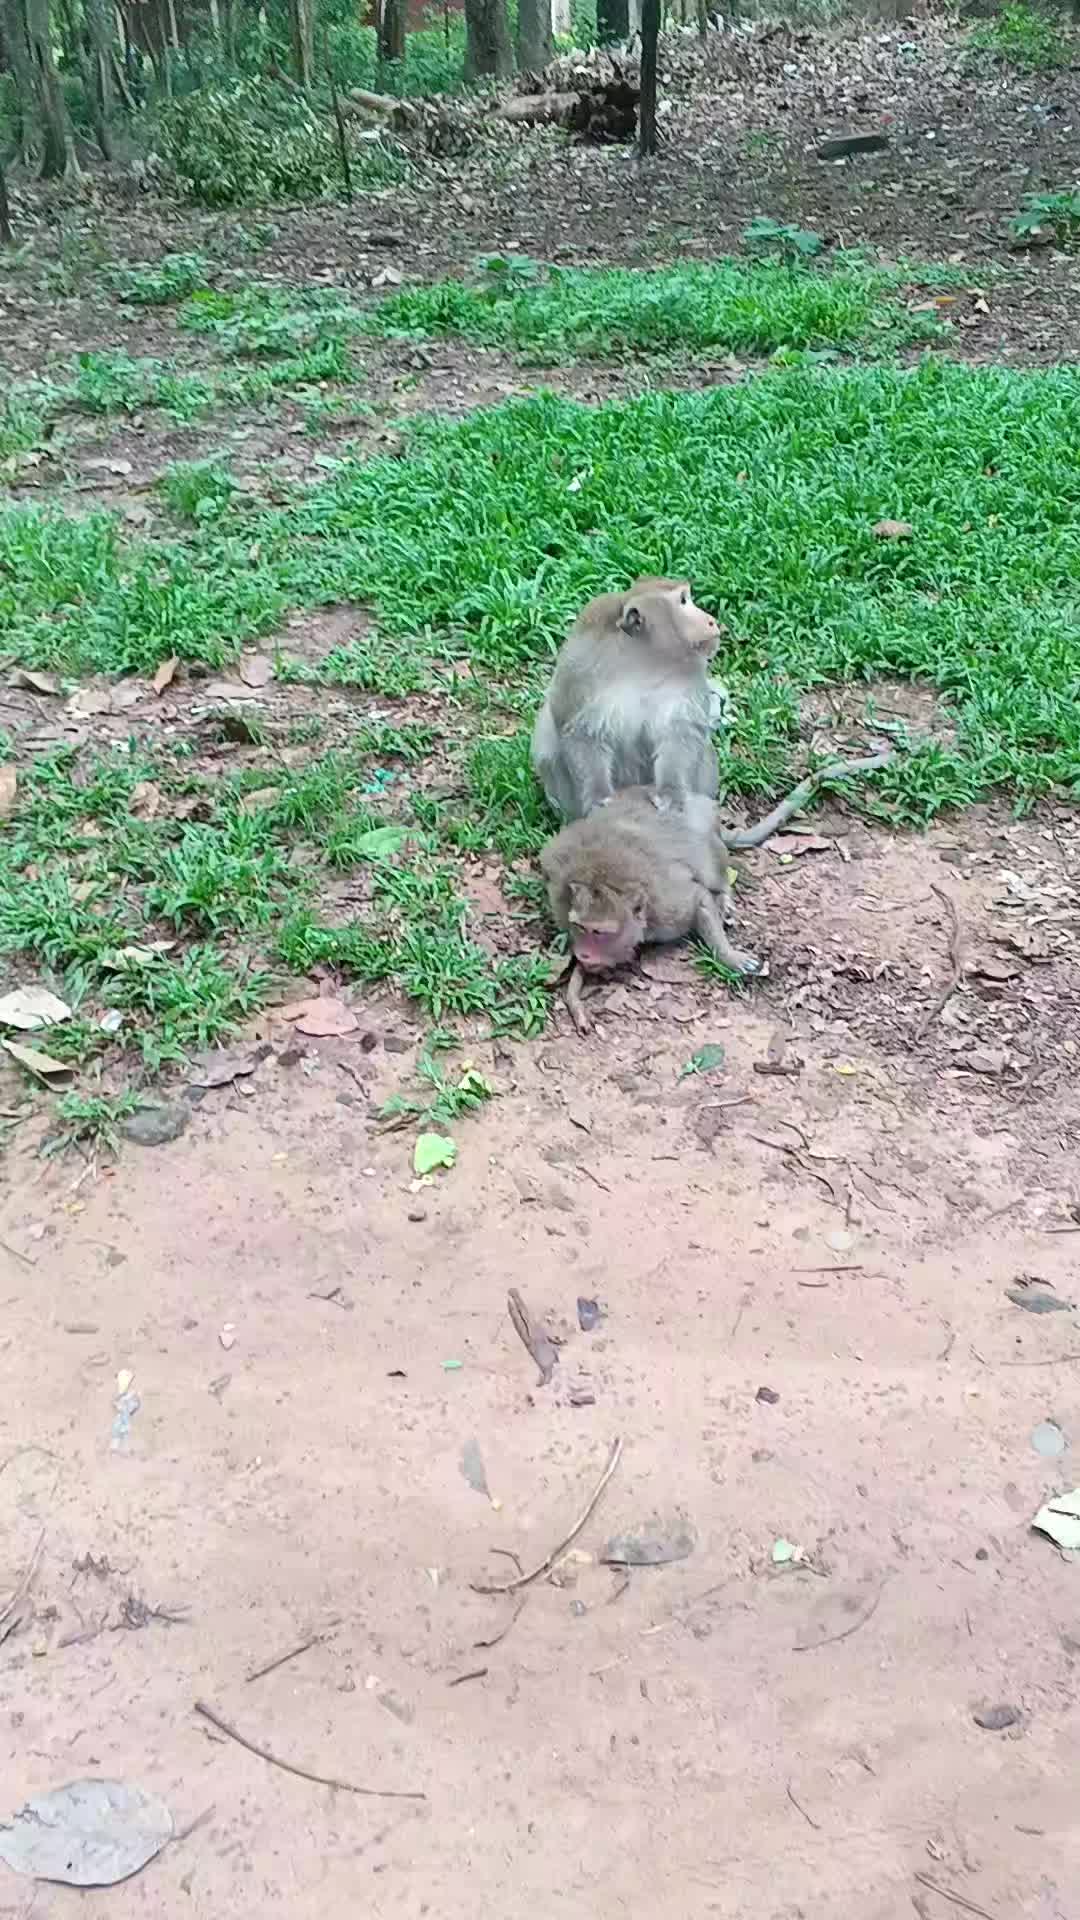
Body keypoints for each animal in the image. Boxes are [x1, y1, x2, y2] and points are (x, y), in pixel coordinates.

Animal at [531, 578, 732, 823]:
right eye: (683, 601)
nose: (712, 621)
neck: (644, 660)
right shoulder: (582, 667)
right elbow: (580, 732)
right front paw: (598, 797)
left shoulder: (690, 674)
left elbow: (680, 732)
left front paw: (671, 793)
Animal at [540, 786, 760, 1034]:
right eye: (580, 927)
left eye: (599, 933)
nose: (583, 953)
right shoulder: (559, 896)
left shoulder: (667, 909)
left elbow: (699, 898)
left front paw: (729, 956)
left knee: (707, 852)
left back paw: (722, 892)